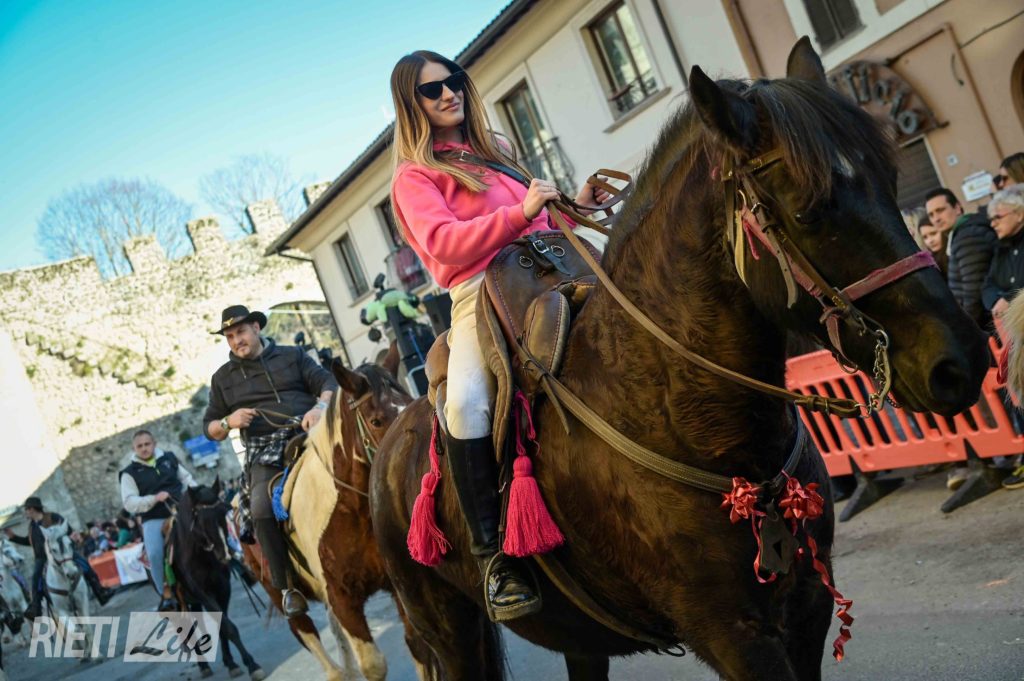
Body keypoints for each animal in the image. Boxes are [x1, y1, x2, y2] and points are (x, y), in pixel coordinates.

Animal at [170, 481, 266, 679]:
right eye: (201, 521)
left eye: (223, 515)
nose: (225, 553)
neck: (200, 555)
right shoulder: (204, 594)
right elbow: (227, 627)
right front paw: (251, 664)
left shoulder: (223, 589)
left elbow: (224, 625)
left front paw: (233, 662)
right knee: (188, 630)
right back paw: (203, 665)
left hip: (194, 602)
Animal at [238, 357, 430, 681]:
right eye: (376, 420)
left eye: (409, 403)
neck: (352, 510)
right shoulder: (341, 597)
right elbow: (374, 665)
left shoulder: (397, 584)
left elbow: (419, 647)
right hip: (279, 594)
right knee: (309, 636)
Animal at [369, 38, 990, 681]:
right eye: (810, 210)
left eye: (890, 178)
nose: (959, 360)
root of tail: (387, 441)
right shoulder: (733, 633)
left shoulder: (809, 607)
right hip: (449, 630)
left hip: (578, 639)